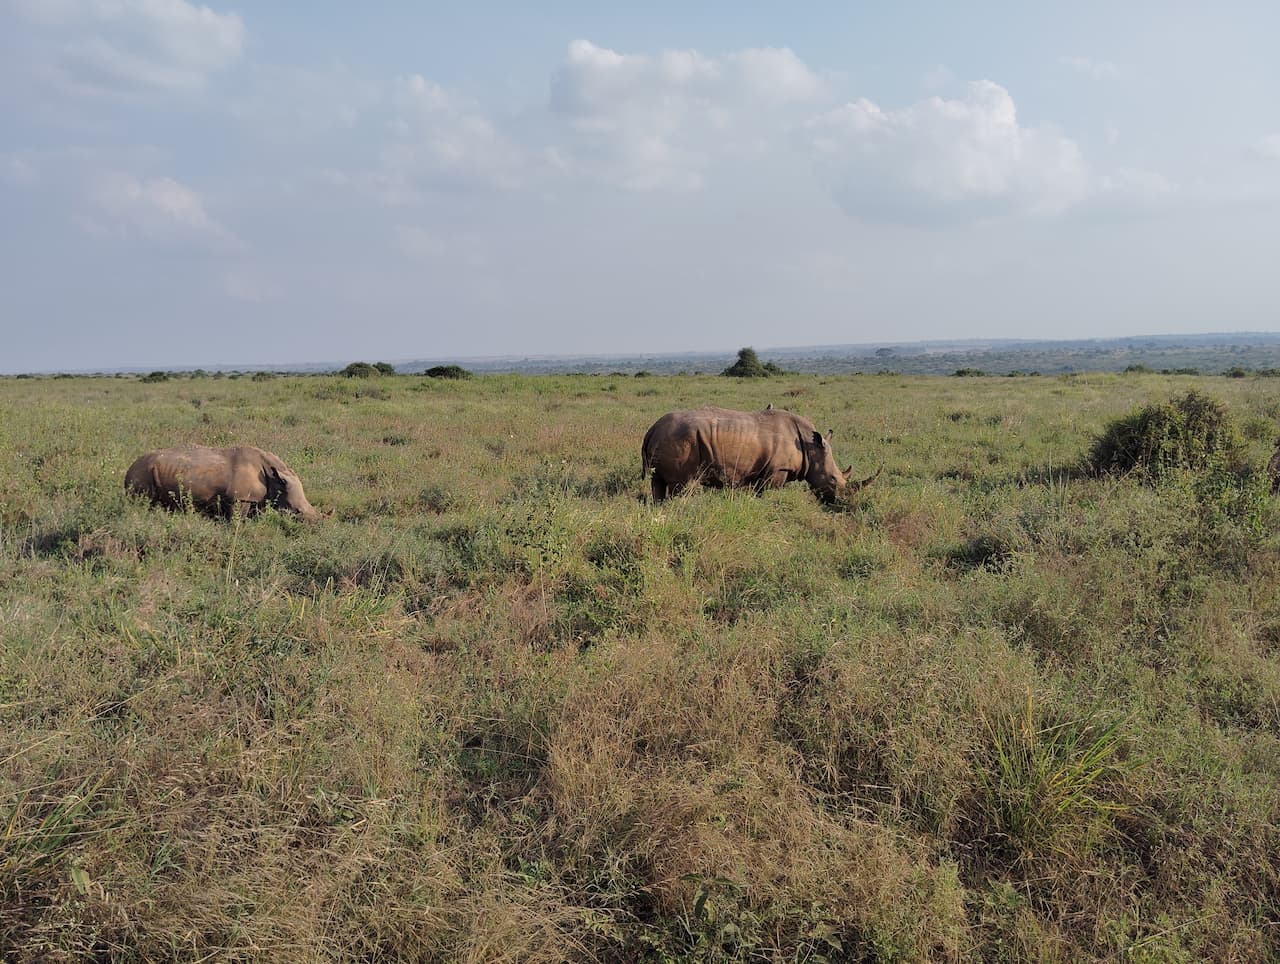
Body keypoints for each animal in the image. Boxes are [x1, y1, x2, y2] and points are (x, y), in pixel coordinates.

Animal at [126, 442, 320, 519]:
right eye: (297, 512)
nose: (316, 523)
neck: (274, 474)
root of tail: (128, 469)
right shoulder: (240, 498)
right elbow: (237, 519)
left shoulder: (255, 498)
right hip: (141, 473)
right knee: (143, 501)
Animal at [640, 404, 880, 504]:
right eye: (832, 480)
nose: (840, 503)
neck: (811, 448)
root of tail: (652, 428)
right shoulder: (777, 470)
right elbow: (768, 495)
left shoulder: (762, 472)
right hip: (681, 441)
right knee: (681, 486)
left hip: (669, 438)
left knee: (658, 482)